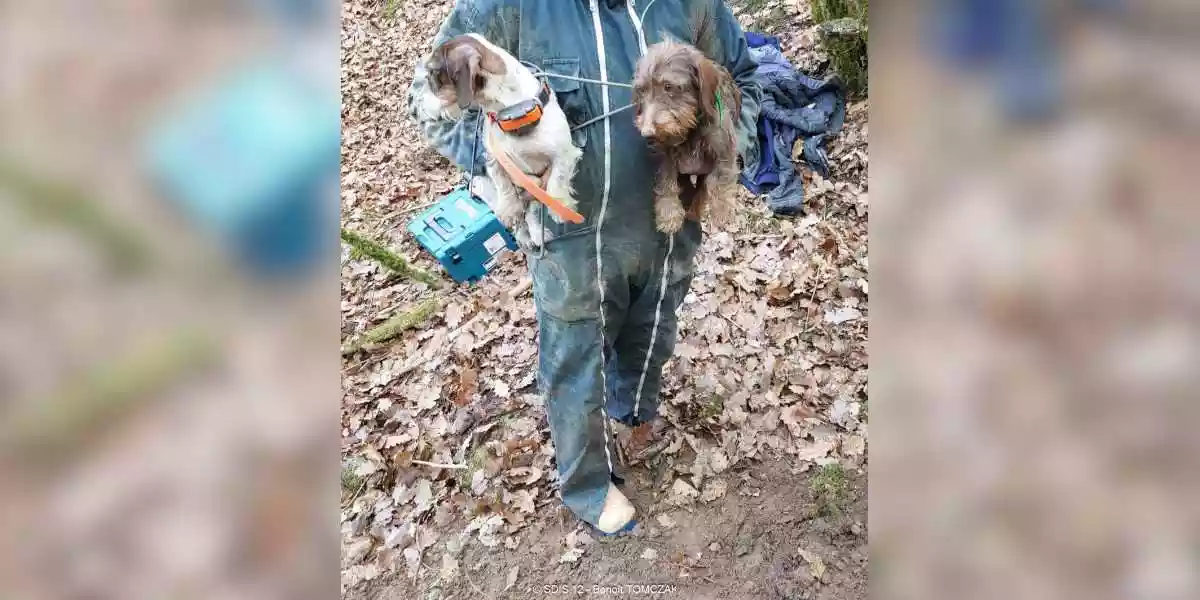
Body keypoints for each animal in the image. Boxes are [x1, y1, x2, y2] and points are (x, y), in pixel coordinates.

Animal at [633, 40, 734, 234]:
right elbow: (666, 180)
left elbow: (719, 179)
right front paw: (669, 213)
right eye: (641, 90)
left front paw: (721, 209)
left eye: (668, 86)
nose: (647, 134)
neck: (690, 129)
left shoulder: (723, 148)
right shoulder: (665, 156)